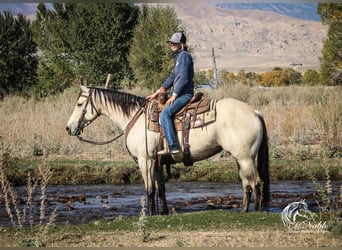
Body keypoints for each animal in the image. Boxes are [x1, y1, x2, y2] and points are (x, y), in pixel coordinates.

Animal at [66, 85, 270, 214]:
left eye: (79, 104)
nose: (69, 128)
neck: (135, 119)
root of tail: (254, 112)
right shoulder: (156, 162)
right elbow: (160, 189)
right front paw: (162, 212)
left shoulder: (145, 160)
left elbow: (149, 189)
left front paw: (150, 214)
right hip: (240, 158)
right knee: (246, 183)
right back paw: (243, 210)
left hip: (245, 157)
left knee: (256, 182)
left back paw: (256, 211)